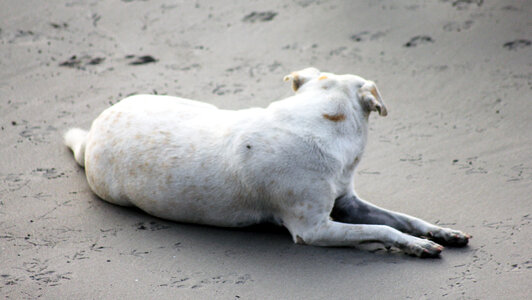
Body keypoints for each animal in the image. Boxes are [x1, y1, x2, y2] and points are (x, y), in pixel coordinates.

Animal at [65, 68, 470, 258]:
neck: (319, 120)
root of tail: (93, 129)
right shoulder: (314, 229)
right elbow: (386, 229)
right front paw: (416, 246)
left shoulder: (348, 202)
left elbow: (404, 218)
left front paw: (441, 233)